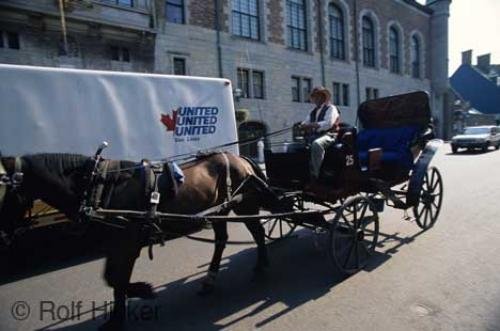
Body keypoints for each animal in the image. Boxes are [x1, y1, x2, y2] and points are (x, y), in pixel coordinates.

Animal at [0, 152, 276, 330]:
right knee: (223, 240)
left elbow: (118, 279)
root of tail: (239, 158)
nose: (3, 234)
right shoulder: (115, 241)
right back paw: (210, 279)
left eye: (6, 191)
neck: (99, 187)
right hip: (220, 210)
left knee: (257, 232)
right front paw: (121, 311)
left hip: (244, 205)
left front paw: (138, 295)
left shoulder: (128, 242)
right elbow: (112, 278)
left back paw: (261, 265)